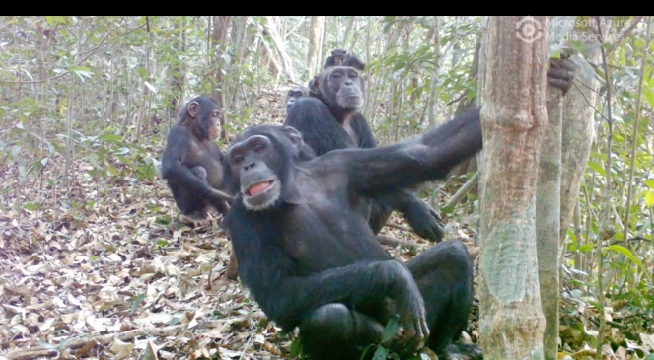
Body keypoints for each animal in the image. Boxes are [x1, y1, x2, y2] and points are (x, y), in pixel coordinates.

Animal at [161, 95, 233, 225]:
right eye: (214, 115)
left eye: (218, 116)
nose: (218, 124)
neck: (195, 131)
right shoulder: (177, 132)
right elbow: (171, 167)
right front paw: (219, 195)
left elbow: (224, 161)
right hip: (183, 207)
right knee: (199, 170)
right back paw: (193, 215)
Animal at [223, 107, 484, 360]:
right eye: (237, 158)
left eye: (258, 147)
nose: (247, 166)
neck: (296, 191)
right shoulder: (242, 222)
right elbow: (278, 293)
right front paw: (395, 276)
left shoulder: (344, 163)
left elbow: (428, 152)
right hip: (389, 340)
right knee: (330, 318)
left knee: (454, 255)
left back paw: (447, 347)